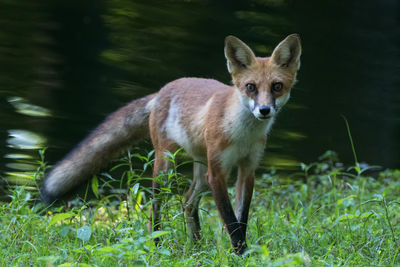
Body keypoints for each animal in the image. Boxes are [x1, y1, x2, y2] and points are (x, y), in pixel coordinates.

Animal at [41, 34, 304, 256]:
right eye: (251, 87)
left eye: (277, 86)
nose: (264, 110)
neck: (242, 135)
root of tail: (161, 91)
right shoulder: (217, 173)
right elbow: (231, 221)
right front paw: (241, 254)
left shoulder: (247, 170)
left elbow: (242, 219)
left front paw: (239, 252)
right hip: (167, 168)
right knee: (154, 210)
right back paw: (156, 245)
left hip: (201, 175)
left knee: (188, 203)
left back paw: (196, 245)